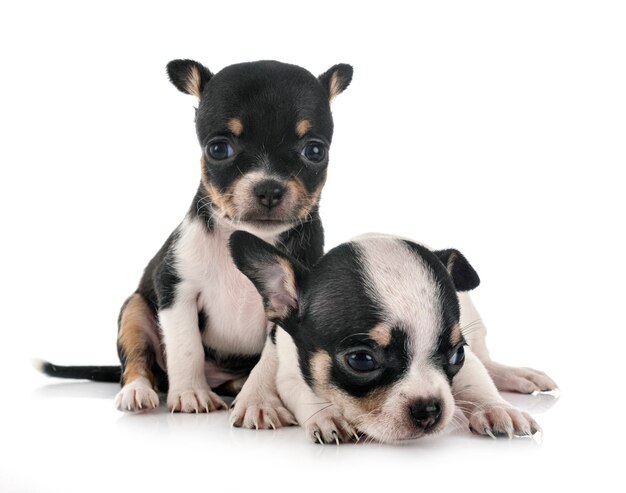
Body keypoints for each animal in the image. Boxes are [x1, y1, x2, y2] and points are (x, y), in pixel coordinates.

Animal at [37, 58, 352, 426]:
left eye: (315, 151)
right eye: (218, 149)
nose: (269, 188)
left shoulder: (286, 311)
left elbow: (269, 360)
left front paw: (259, 401)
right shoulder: (176, 290)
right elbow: (186, 347)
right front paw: (190, 393)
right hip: (135, 310)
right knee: (137, 362)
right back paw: (138, 391)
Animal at [232, 231, 544, 442]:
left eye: (457, 355)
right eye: (361, 360)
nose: (429, 409)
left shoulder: (468, 360)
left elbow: (478, 380)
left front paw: (497, 408)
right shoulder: (288, 369)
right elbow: (305, 392)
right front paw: (326, 415)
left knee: (488, 363)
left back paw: (517, 375)